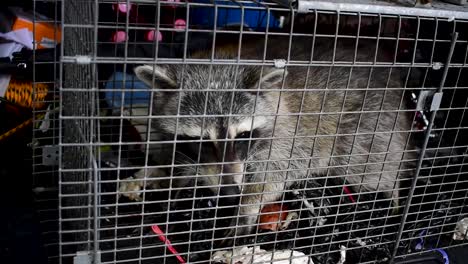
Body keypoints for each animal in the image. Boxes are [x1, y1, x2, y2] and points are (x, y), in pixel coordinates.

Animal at [121, 34, 416, 237]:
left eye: (242, 135)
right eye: (201, 140)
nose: (230, 192)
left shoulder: (290, 135)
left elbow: (278, 174)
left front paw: (246, 206)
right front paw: (170, 181)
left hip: (370, 125)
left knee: (370, 167)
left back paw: (393, 195)